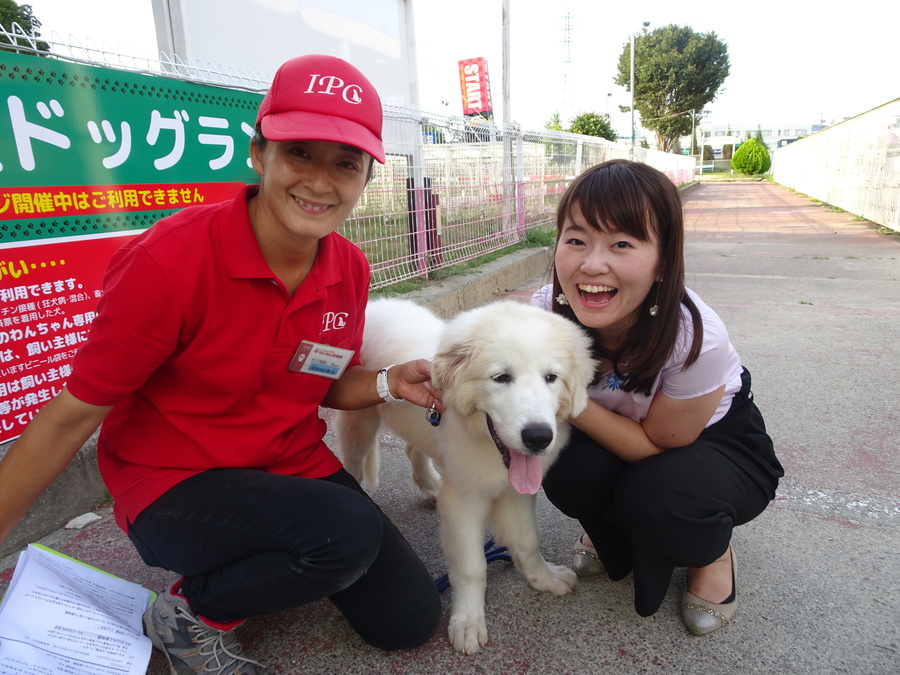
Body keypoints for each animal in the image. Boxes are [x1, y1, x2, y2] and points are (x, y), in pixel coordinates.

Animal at [334, 300, 596, 656]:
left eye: (551, 378)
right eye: (501, 378)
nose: (539, 438)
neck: (486, 442)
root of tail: (376, 304)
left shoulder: (516, 492)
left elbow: (527, 541)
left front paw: (544, 579)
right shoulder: (463, 501)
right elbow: (472, 567)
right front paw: (468, 622)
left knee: (413, 449)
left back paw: (430, 487)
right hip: (358, 426)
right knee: (354, 463)